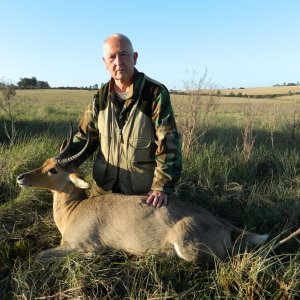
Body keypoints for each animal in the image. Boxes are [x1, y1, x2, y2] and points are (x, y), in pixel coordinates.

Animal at [16, 127, 270, 264]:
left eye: (54, 170)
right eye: (46, 162)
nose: (21, 177)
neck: (74, 211)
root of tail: (225, 225)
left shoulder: (80, 246)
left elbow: (40, 255)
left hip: (186, 245)